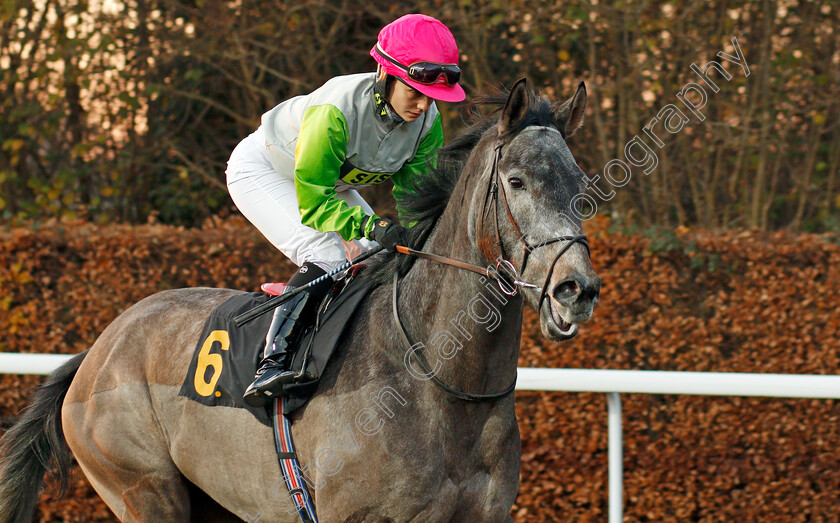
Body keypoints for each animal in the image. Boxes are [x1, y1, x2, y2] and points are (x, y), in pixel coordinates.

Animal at [1, 79, 604, 523]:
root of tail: (99, 349)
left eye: (579, 181)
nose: (576, 290)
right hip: (142, 488)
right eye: (517, 181)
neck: (441, 382)